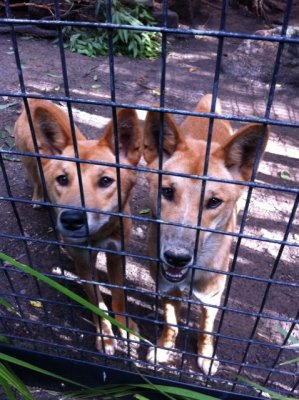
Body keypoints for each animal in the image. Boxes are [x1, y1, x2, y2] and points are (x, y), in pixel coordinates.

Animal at [14, 99, 143, 354]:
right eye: (63, 179)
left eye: (106, 181)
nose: (71, 220)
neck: (99, 234)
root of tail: (35, 101)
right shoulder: (83, 262)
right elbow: (97, 304)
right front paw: (105, 335)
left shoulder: (116, 255)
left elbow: (118, 295)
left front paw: (125, 327)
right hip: (29, 162)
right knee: (37, 179)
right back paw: (38, 197)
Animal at [143, 94, 270, 376]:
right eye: (167, 191)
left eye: (213, 202)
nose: (176, 257)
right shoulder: (167, 289)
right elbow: (171, 324)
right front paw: (164, 347)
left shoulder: (211, 299)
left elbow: (206, 330)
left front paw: (206, 355)